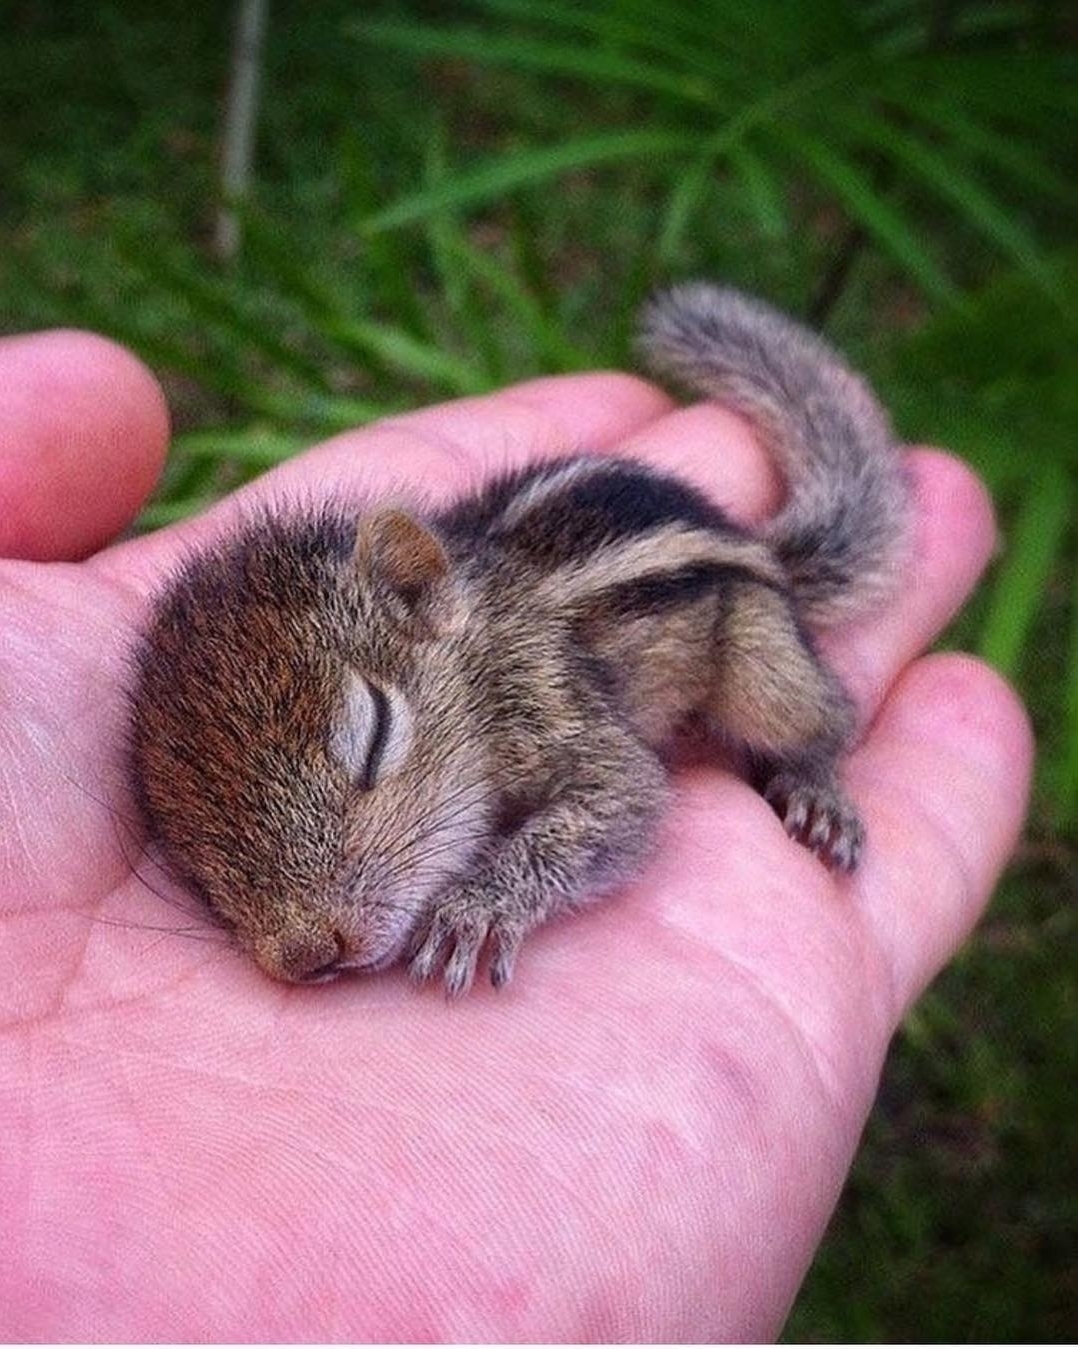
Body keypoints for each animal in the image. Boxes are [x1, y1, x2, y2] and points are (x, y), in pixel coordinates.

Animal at [130, 284, 917, 998]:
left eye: (376, 736)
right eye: (188, 854)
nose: (307, 954)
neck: (480, 653)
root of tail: (758, 545)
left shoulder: (556, 709)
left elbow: (622, 801)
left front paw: (476, 908)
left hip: (761, 661)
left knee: (825, 715)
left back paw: (817, 788)